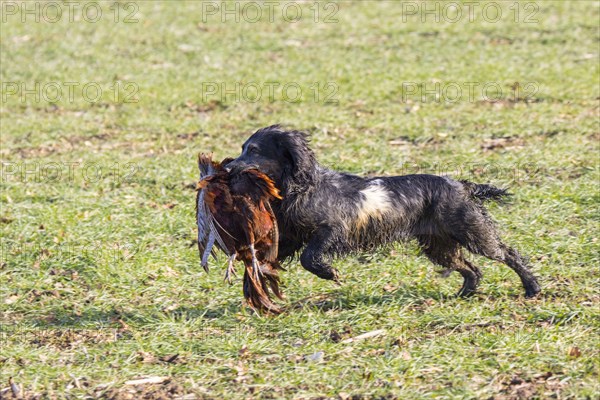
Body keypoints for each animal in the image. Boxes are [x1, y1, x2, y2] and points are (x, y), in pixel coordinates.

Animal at [226, 125, 544, 296]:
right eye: (242, 148)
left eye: (253, 150)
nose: (227, 168)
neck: (301, 187)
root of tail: (460, 185)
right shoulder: (293, 237)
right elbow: (266, 260)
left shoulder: (333, 229)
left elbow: (310, 257)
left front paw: (330, 273)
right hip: (439, 246)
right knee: (471, 268)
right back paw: (464, 294)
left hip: (472, 231)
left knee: (508, 254)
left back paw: (532, 287)